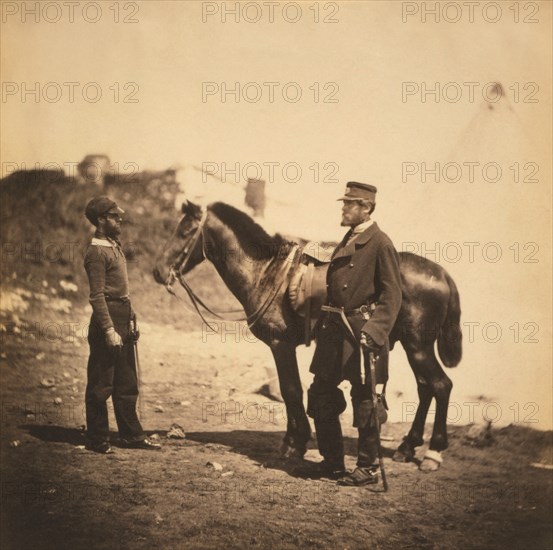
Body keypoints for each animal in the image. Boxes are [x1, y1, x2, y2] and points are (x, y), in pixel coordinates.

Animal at [153, 201, 460, 472]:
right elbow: (292, 390)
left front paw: (294, 443)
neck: (266, 272)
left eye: (185, 231)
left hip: (418, 347)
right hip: (414, 347)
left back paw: (433, 453)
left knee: (441, 386)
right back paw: (407, 447)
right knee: (425, 389)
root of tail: (442, 274)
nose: (158, 271)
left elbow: (290, 389)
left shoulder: (281, 344)